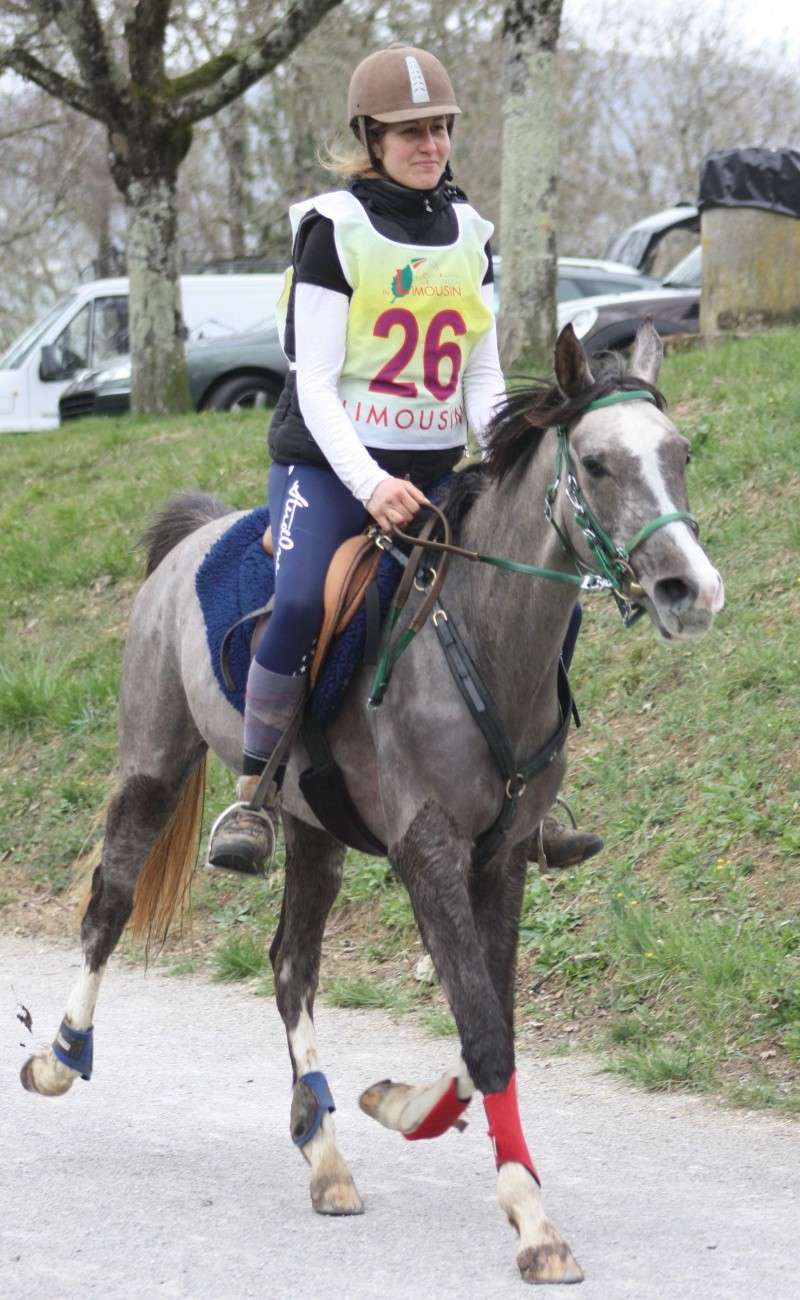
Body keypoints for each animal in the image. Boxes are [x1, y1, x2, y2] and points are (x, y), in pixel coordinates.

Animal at [23, 322, 728, 1279]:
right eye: (597, 463)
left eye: (679, 453)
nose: (690, 591)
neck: (480, 640)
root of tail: (194, 537)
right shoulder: (427, 852)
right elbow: (484, 1026)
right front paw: (534, 1223)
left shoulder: (502, 858)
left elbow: (491, 1021)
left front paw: (401, 1104)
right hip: (152, 765)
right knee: (109, 907)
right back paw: (59, 1058)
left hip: (314, 830)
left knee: (290, 966)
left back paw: (323, 1154)